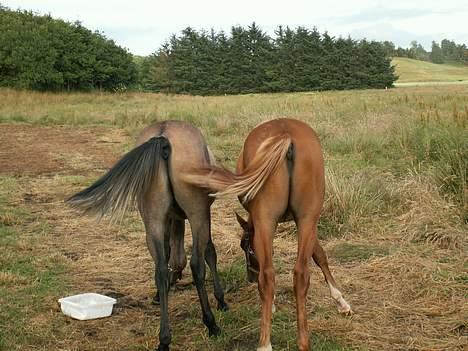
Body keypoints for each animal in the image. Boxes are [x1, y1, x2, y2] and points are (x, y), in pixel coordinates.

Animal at [68, 121, 229, 351]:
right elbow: (208, 252)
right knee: (197, 265)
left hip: (152, 221)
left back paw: (164, 339)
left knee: (160, 268)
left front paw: (165, 288)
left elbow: (172, 255)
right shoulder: (200, 216)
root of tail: (162, 137)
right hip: (197, 215)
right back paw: (211, 323)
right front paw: (221, 300)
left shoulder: (171, 218)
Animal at [184, 118, 352, 351]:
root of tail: (286, 136)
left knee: (268, 276)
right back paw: (303, 342)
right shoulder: (305, 223)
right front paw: (340, 301)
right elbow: (319, 254)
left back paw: (265, 343)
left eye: (244, 246)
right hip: (307, 219)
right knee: (301, 275)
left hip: (267, 222)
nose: (249, 277)